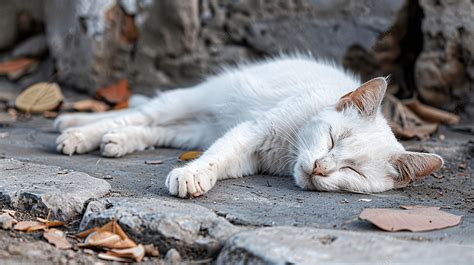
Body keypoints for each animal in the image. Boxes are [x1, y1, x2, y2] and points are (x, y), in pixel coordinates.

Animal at [53, 54, 442, 197]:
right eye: (333, 139)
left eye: (353, 171)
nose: (319, 167)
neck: (287, 154)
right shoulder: (252, 131)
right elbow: (217, 154)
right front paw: (191, 174)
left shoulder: (249, 159)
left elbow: (222, 160)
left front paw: (196, 177)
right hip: (193, 99)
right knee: (144, 112)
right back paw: (76, 129)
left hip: (193, 130)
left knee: (151, 129)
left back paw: (116, 140)